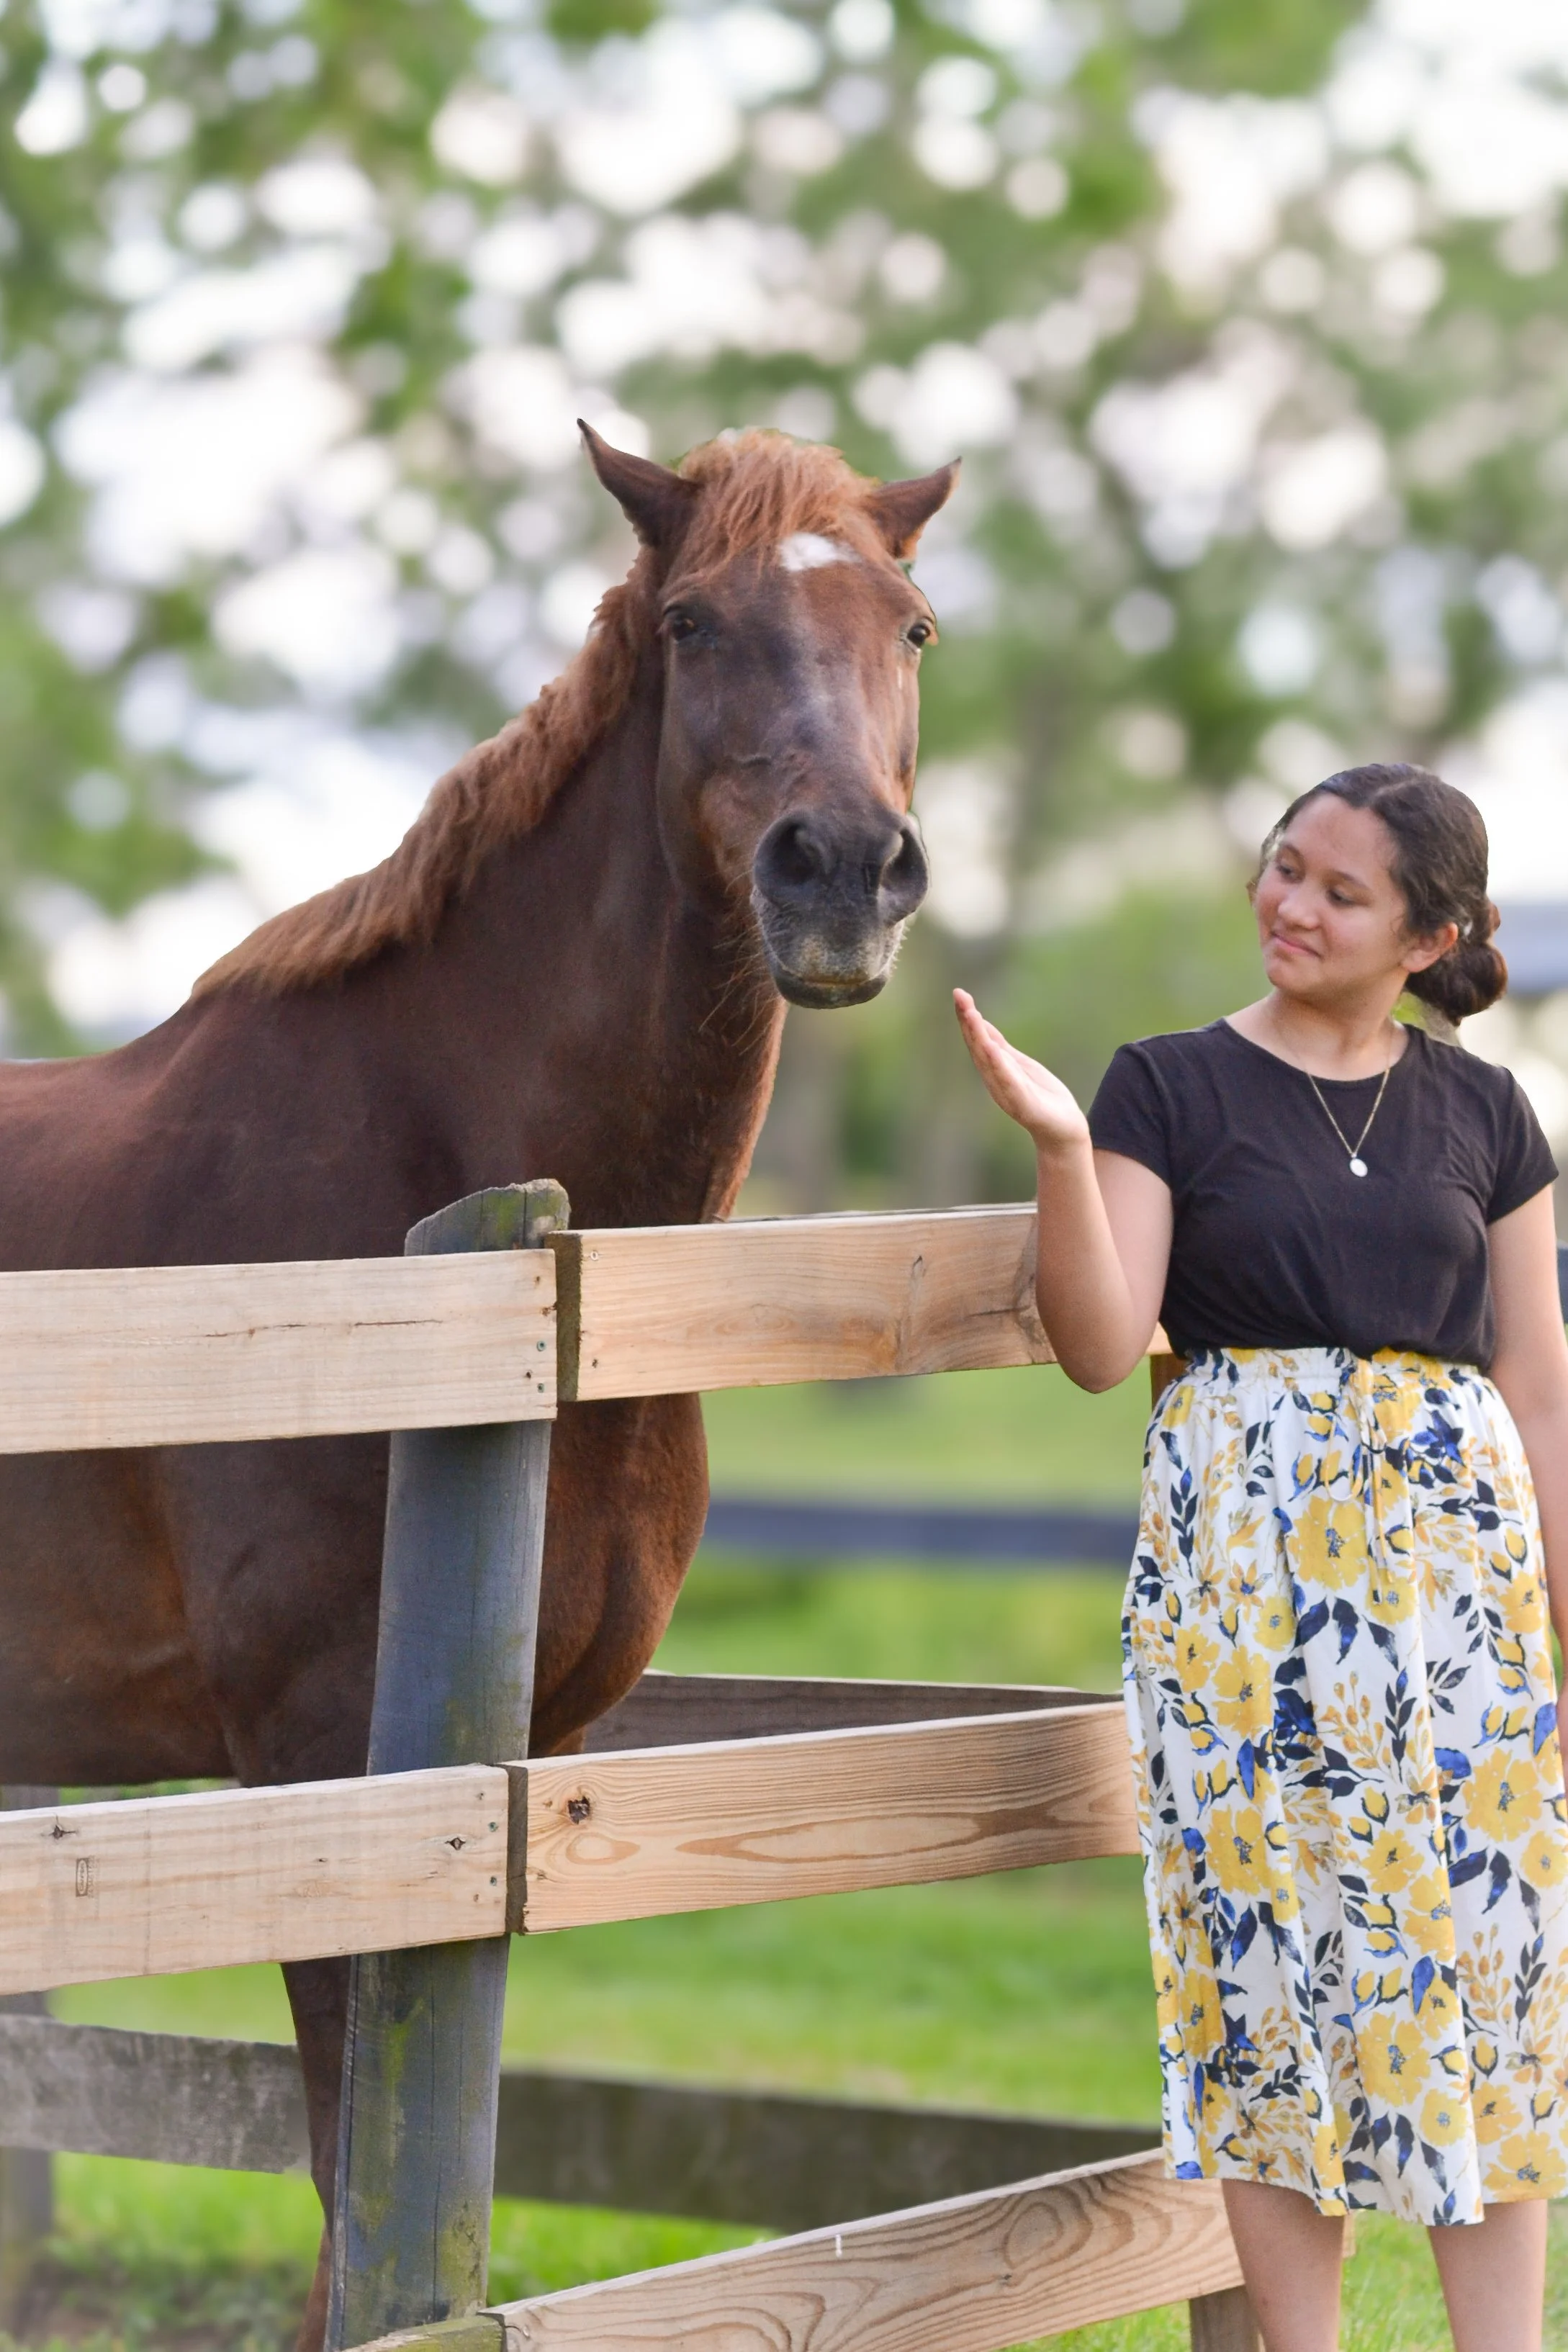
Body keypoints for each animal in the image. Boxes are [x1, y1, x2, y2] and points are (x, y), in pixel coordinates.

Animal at [0, 423, 955, 2345]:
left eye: (912, 627)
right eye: (693, 620)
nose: (842, 868)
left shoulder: (513, 1776)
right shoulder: (323, 1777)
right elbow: (347, 2196)